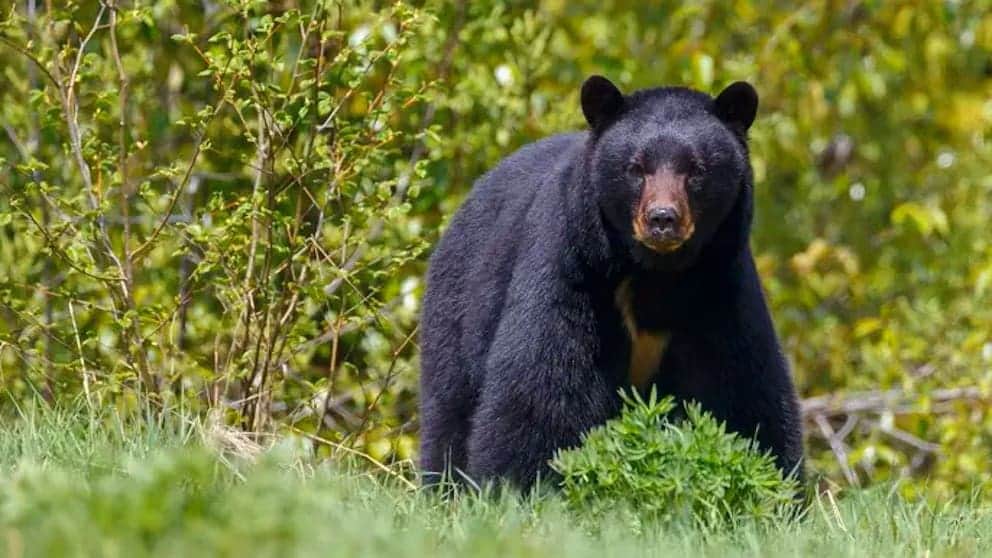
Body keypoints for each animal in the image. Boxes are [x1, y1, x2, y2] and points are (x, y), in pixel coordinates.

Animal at [418, 75, 804, 490]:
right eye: (636, 168)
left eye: (696, 169)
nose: (662, 219)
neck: (655, 273)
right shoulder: (573, 268)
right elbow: (544, 384)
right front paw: (519, 486)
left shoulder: (718, 286)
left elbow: (741, 388)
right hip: (459, 304)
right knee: (450, 406)